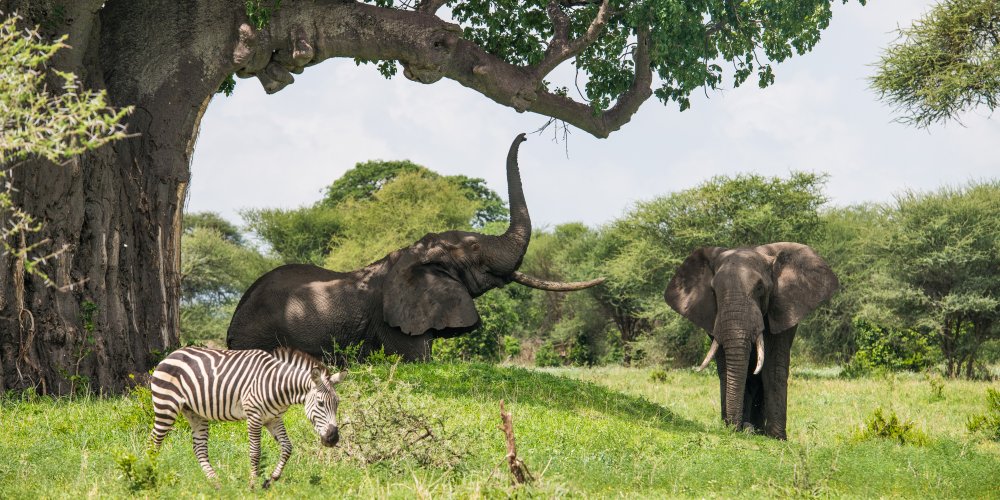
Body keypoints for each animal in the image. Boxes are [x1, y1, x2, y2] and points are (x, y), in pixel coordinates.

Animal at [148, 348, 348, 488]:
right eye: (320, 403)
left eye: (338, 403)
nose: (333, 439)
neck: (277, 386)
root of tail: (170, 355)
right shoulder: (254, 416)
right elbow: (255, 452)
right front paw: (252, 484)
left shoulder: (273, 419)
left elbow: (287, 448)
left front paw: (270, 480)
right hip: (166, 406)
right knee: (153, 442)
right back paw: (150, 477)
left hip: (195, 414)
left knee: (199, 449)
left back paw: (216, 483)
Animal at [227, 136, 600, 364]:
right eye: (475, 246)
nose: (526, 136)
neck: (414, 254)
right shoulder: (393, 321)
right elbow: (418, 360)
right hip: (257, 334)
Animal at [668, 244, 840, 440]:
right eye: (714, 291)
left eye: (759, 288)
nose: (740, 428)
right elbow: (726, 367)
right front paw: (737, 427)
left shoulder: (780, 307)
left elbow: (772, 367)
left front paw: (777, 438)